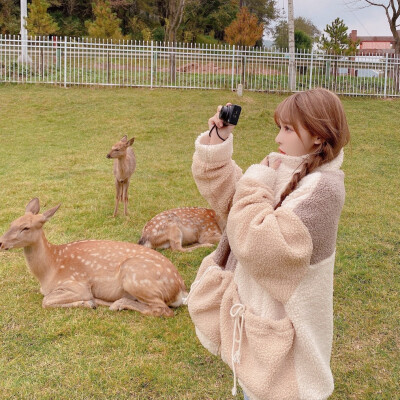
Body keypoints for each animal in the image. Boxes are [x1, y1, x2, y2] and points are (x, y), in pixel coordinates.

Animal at [0, 198, 188, 318]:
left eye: (25, 227)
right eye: (11, 223)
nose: (1, 242)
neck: (49, 269)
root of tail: (180, 289)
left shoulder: (77, 284)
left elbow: (45, 301)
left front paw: (87, 303)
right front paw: (89, 303)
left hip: (135, 276)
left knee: (164, 310)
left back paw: (115, 304)